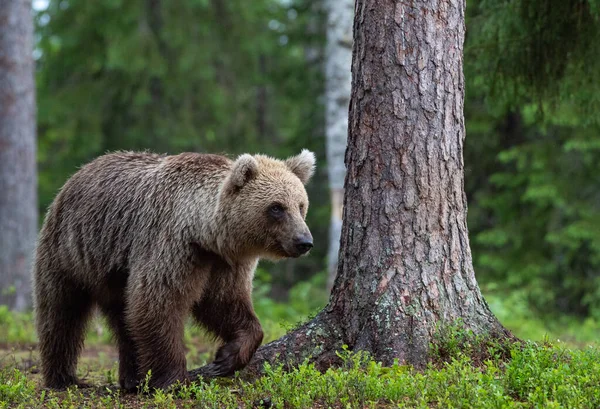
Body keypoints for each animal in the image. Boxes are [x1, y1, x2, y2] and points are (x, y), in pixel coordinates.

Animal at [32, 149, 316, 388]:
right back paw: (64, 378)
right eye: (277, 207)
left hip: (112, 271)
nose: (304, 241)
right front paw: (174, 379)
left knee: (122, 318)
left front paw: (227, 357)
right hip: (71, 249)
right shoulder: (171, 244)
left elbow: (224, 302)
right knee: (62, 312)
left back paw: (131, 379)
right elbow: (157, 304)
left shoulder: (224, 262)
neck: (205, 233)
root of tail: (79, 172)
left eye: (301, 205)